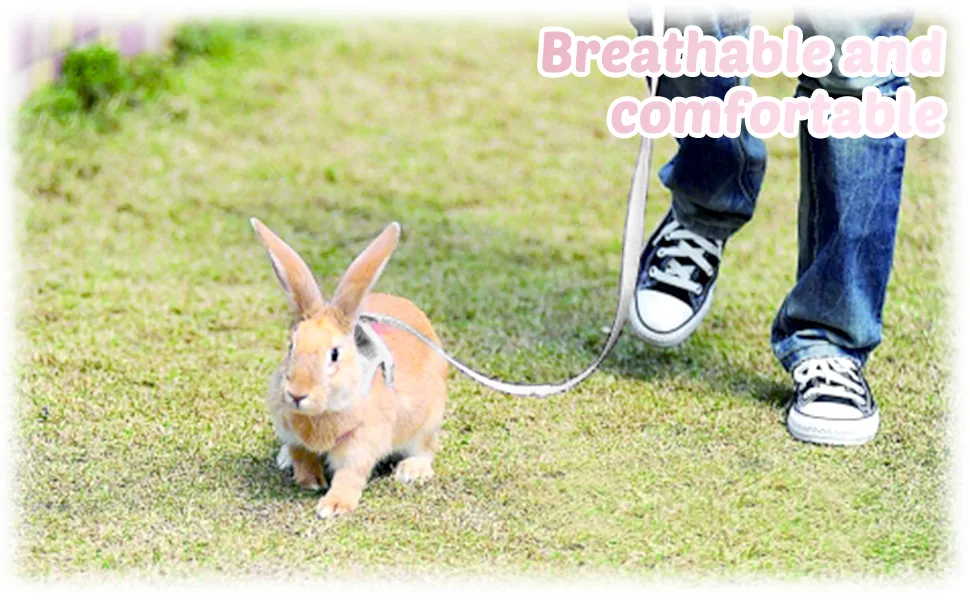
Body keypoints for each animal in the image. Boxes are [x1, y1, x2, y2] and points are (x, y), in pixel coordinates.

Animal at [250, 218, 448, 519]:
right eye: (291, 346)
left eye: (334, 354)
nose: (297, 394)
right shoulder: (293, 436)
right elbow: (302, 456)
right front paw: (310, 481)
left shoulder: (361, 443)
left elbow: (350, 475)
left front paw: (333, 507)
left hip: (429, 419)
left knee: (426, 448)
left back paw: (411, 471)